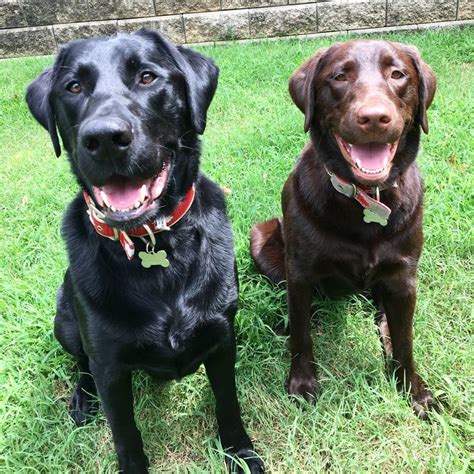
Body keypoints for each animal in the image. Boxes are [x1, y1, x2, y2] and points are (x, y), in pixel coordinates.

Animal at [26, 30, 262, 474]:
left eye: (147, 77)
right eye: (73, 86)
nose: (104, 138)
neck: (151, 242)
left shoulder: (222, 336)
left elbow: (229, 404)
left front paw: (240, 453)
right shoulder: (109, 367)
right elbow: (125, 434)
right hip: (65, 319)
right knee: (81, 365)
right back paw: (82, 398)